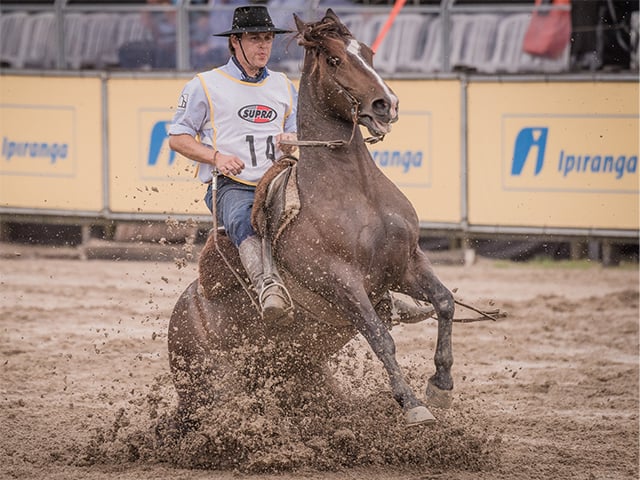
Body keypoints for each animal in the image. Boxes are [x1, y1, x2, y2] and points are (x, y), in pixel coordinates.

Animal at [169, 8, 456, 428]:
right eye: (334, 59)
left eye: (368, 52)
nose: (387, 104)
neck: (356, 192)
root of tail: (183, 313)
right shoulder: (341, 281)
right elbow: (380, 336)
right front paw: (412, 403)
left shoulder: (406, 263)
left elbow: (445, 302)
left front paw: (441, 385)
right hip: (207, 391)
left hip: (303, 373)